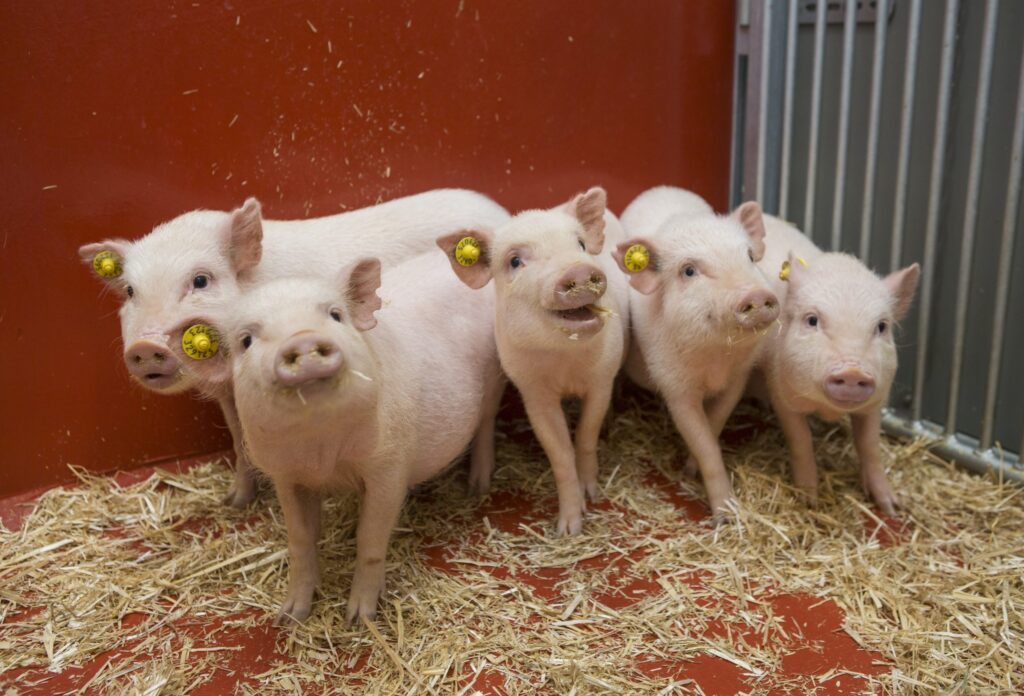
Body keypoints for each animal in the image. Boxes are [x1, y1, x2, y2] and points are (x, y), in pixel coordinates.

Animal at [78, 190, 509, 508]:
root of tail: (500, 212)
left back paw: (478, 489)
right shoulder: (231, 396)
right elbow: (239, 442)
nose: (145, 345)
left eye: (201, 280)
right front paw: (235, 503)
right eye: (130, 291)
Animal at [176, 252, 503, 624]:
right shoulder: (286, 476)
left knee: (486, 423)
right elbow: (300, 539)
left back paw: (477, 487)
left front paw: (360, 619)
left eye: (335, 315)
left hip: (495, 373)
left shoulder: (389, 465)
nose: (302, 339)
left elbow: (370, 539)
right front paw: (289, 617)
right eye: (246, 341)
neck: (323, 452)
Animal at [437, 187, 629, 536]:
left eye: (580, 245)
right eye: (515, 260)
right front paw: (568, 530)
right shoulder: (533, 393)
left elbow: (586, 435)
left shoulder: (601, 380)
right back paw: (479, 487)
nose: (578, 270)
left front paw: (593, 494)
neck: (566, 364)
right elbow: (560, 452)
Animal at [614, 186, 780, 520]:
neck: (716, 359)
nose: (756, 295)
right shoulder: (675, 387)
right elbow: (702, 440)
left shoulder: (738, 379)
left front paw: (690, 469)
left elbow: (714, 423)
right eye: (689, 270)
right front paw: (725, 516)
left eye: (749, 256)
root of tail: (662, 187)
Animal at [753, 217, 920, 514]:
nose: (853, 371)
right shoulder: (783, 395)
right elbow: (801, 440)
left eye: (881, 326)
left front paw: (892, 507)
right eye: (812, 320)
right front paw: (809, 500)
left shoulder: (874, 403)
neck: (827, 410)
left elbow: (870, 445)